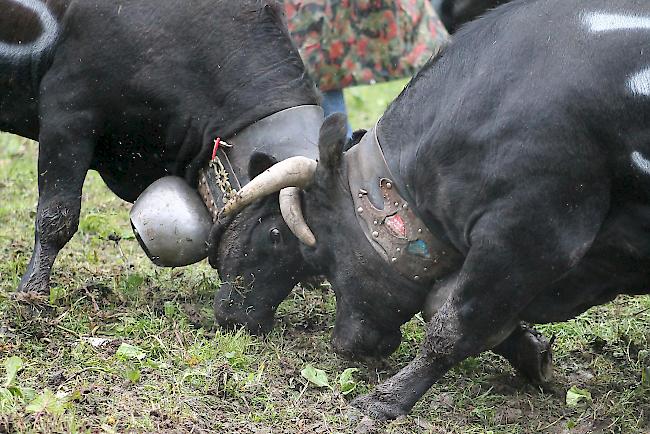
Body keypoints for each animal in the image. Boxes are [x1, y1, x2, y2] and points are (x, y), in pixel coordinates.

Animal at [219, 0, 648, 420]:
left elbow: (455, 323)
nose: (344, 344)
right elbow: (446, 303)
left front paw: (384, 400)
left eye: (316, 252)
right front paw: (532, 354)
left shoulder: (532, 232)